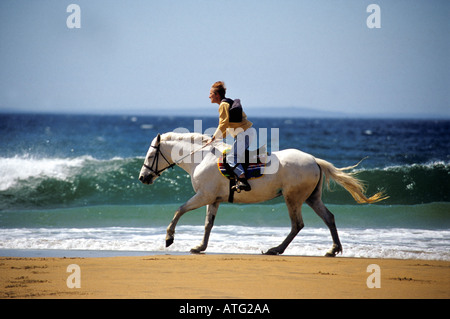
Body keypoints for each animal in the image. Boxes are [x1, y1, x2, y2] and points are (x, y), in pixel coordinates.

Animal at [139, 132, 384, 258]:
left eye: (151, 155)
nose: (143, 178)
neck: (203, 157)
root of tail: (314, 160)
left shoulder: (203, 196)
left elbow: (179, 210)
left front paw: (169, 238)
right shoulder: (213, 200)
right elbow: (208, 224)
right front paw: (200, 247)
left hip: (293, 199)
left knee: (297, 224)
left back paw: (276, 249)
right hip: (311, 198)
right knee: (329, 218)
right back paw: (333, 249)